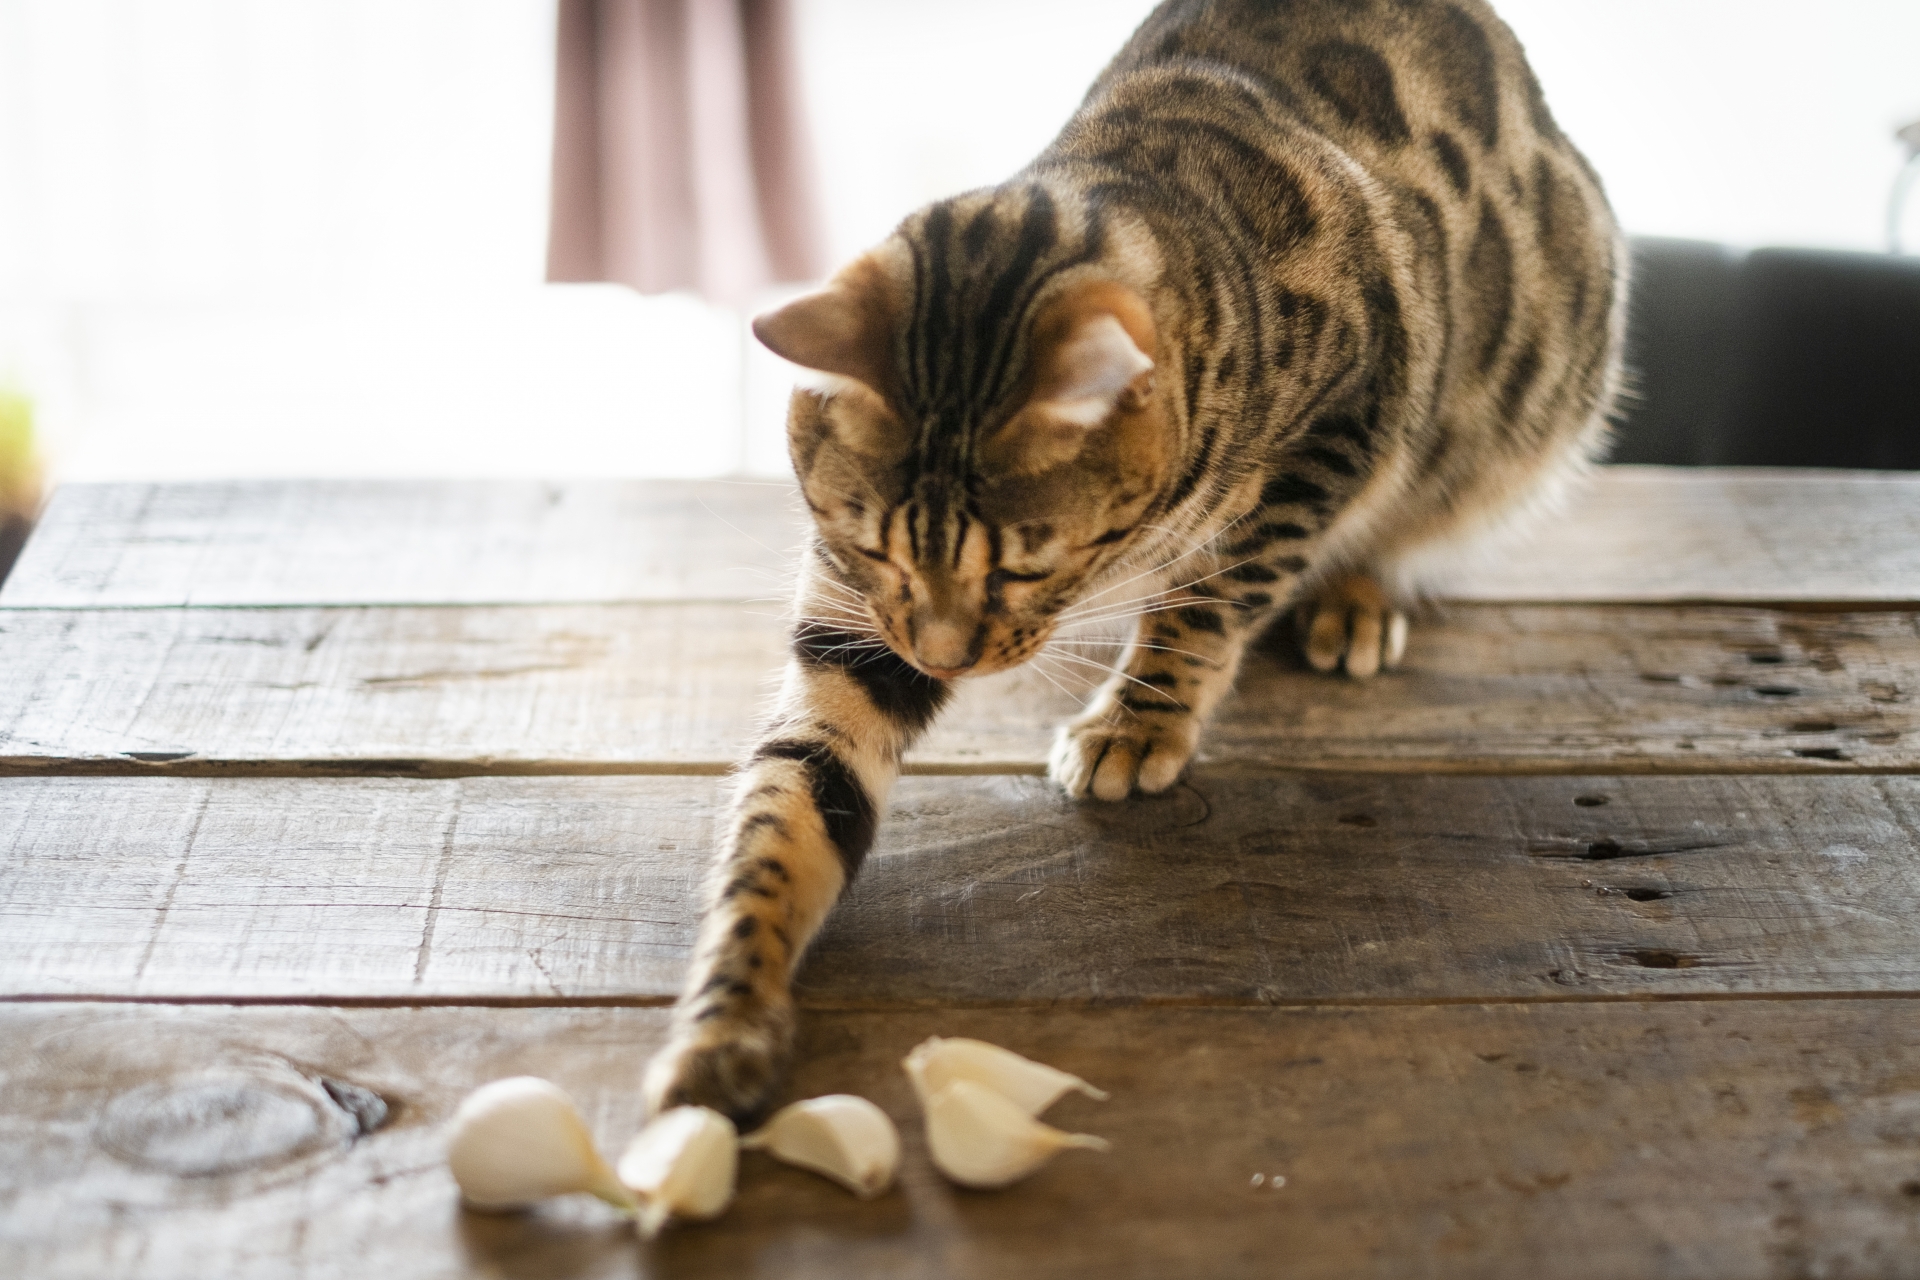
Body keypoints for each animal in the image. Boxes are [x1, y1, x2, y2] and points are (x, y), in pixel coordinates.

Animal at [641, 0, 1620, 1120]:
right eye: (873, 544)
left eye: (1020, 569)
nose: (941, 656)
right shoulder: (859, 626)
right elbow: (787, 808)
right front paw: (725, 1016)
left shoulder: (1349, 413)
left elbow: (1209, 600)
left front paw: (1137, 719)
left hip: (1519, 398)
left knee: (1400, 516)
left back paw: (1354, 595)